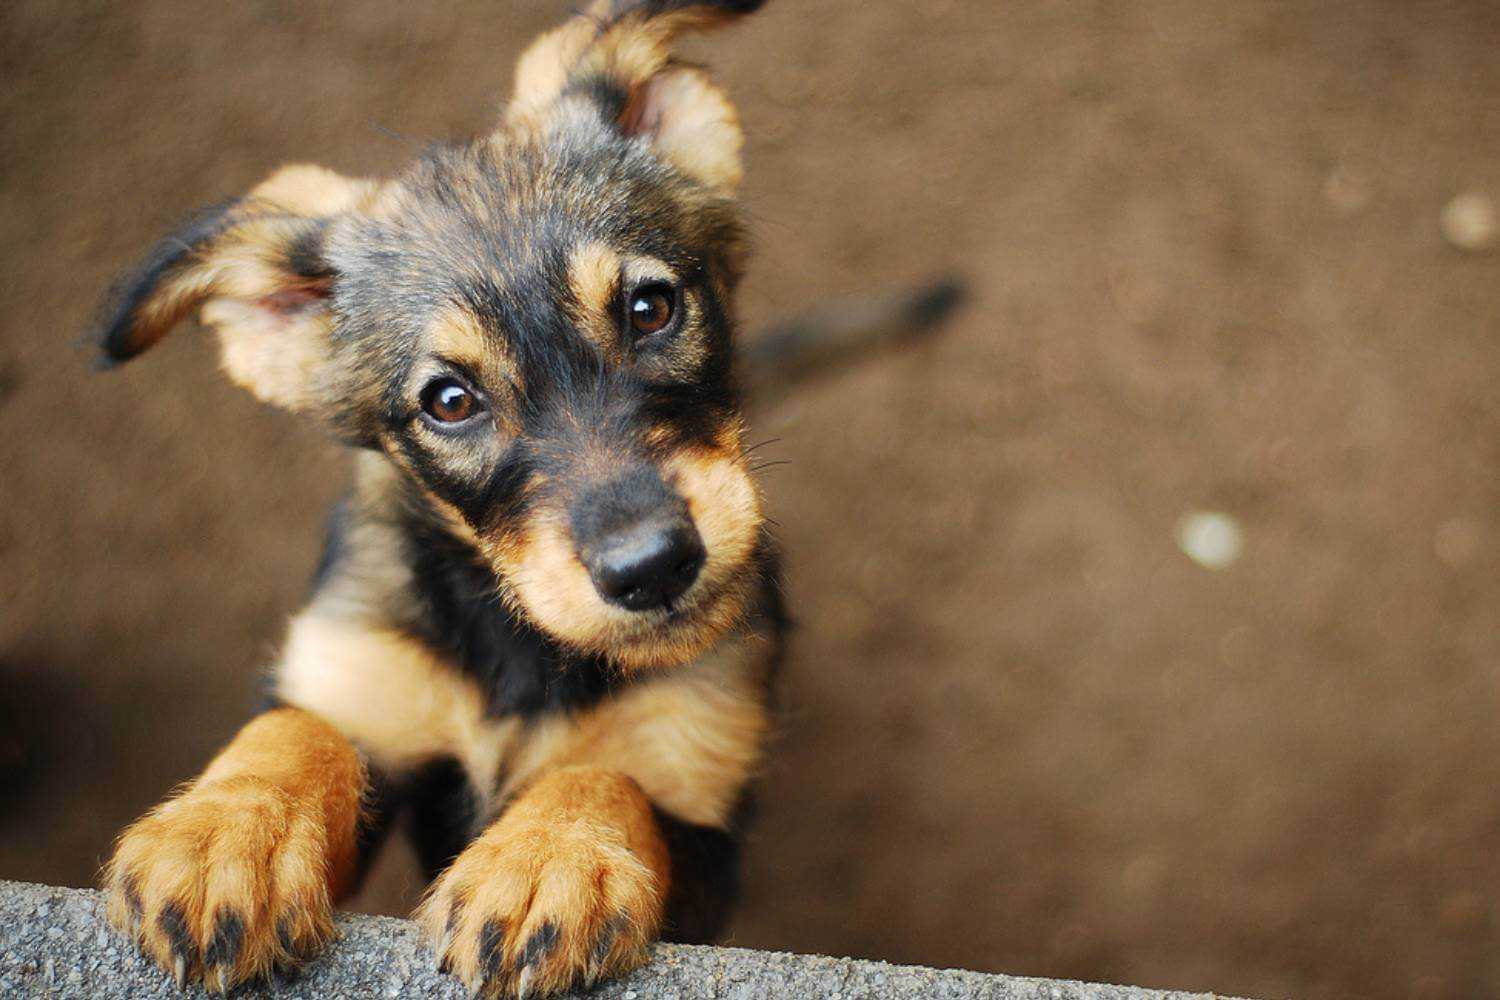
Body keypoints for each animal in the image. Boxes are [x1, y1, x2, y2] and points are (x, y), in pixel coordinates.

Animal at [90, 3, 786, 995]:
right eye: (449, 401)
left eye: (651, 308)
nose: (653, 568)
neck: (520, 646)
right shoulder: (363, 679)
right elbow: (299, 729)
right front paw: (226, 831)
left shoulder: (700, 817)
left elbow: (606, 777)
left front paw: (546, 860)